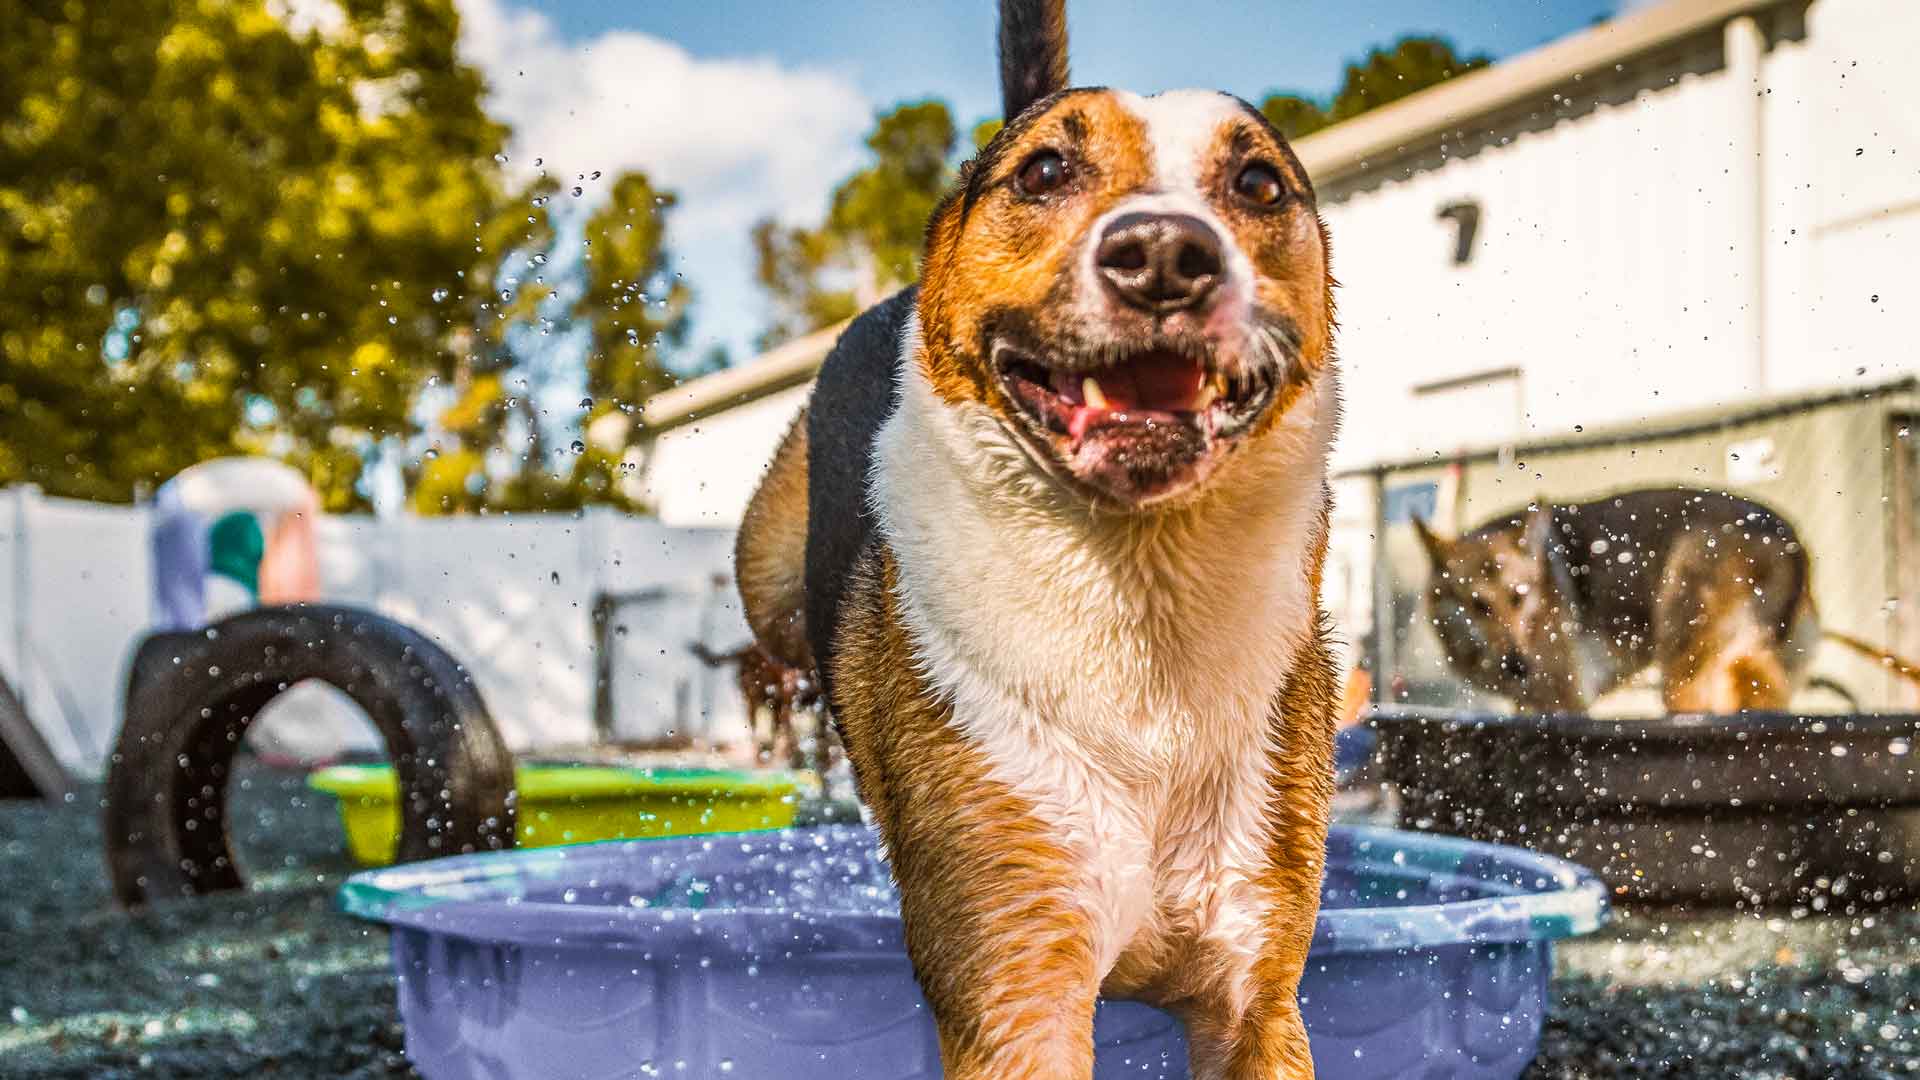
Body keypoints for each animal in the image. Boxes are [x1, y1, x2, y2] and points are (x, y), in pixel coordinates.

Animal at [725, 4, 1344, 1068]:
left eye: (1259, 183)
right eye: (1046, 171)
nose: (1165, 254)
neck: (1138, 585)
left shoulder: (1258, 997)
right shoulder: (1015, 986)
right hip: (765, 575)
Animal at [1413, 484, 1920, 711]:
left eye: (1519, 598)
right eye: (1479, 605)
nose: (1518, 665)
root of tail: (1786, 534)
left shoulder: (1566, 702)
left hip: (1683, 670)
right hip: (1758, 666)